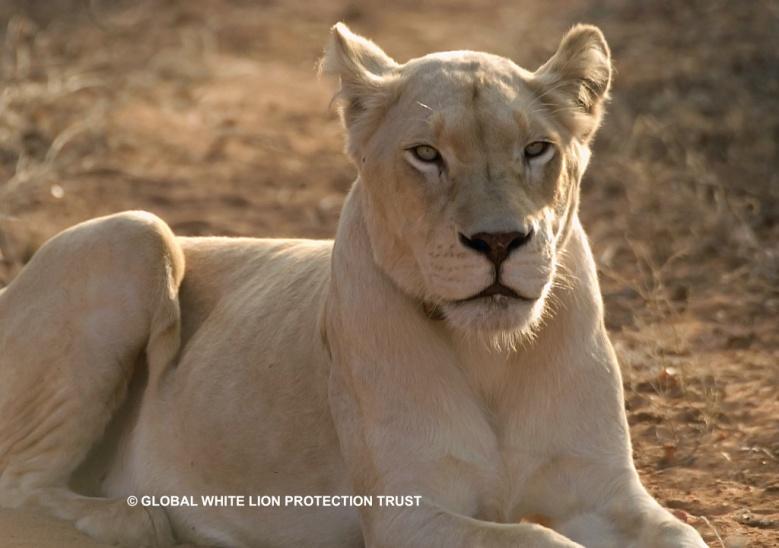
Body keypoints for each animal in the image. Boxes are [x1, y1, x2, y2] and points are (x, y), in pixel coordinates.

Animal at [0, 22, 708, 548]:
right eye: (426, 154)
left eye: (537, 149)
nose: (499, 242)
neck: (490, 355)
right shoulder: (406, 513)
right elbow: (537, 538)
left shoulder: (605, 491)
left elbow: (684, 536)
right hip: (133, 233)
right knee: (19, 486)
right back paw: (140, 517)